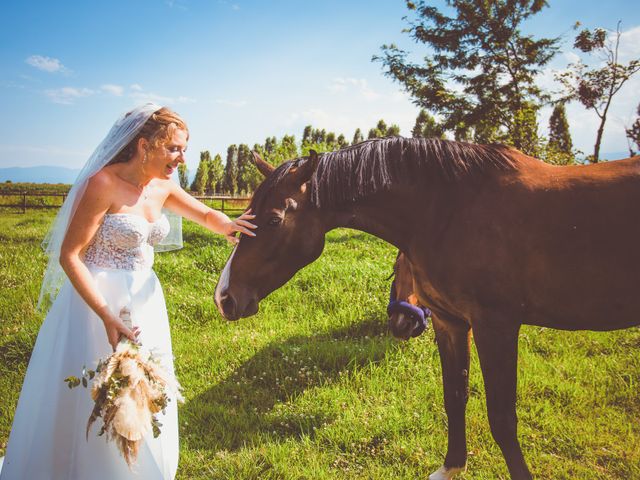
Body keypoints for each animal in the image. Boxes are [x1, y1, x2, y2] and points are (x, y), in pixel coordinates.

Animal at [215, 137, 640, 478]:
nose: (224, 297)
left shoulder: (496, 326)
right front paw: (452, 466)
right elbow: (455, 397)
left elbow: (502, 419)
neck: (448, 212)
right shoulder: (451, 324)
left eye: (274, 220)